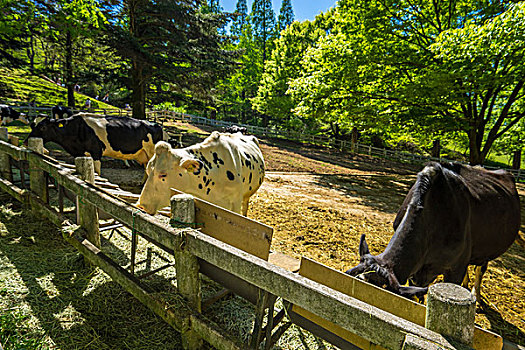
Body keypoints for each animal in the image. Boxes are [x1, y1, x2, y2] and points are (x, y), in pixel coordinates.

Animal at [26, 113, 166, 174]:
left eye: (43, 127)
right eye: (32, 125)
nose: (26, 141)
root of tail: (156, 124)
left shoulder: (96, 152)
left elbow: (97, 172)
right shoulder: (80, 153)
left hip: (152, 153)